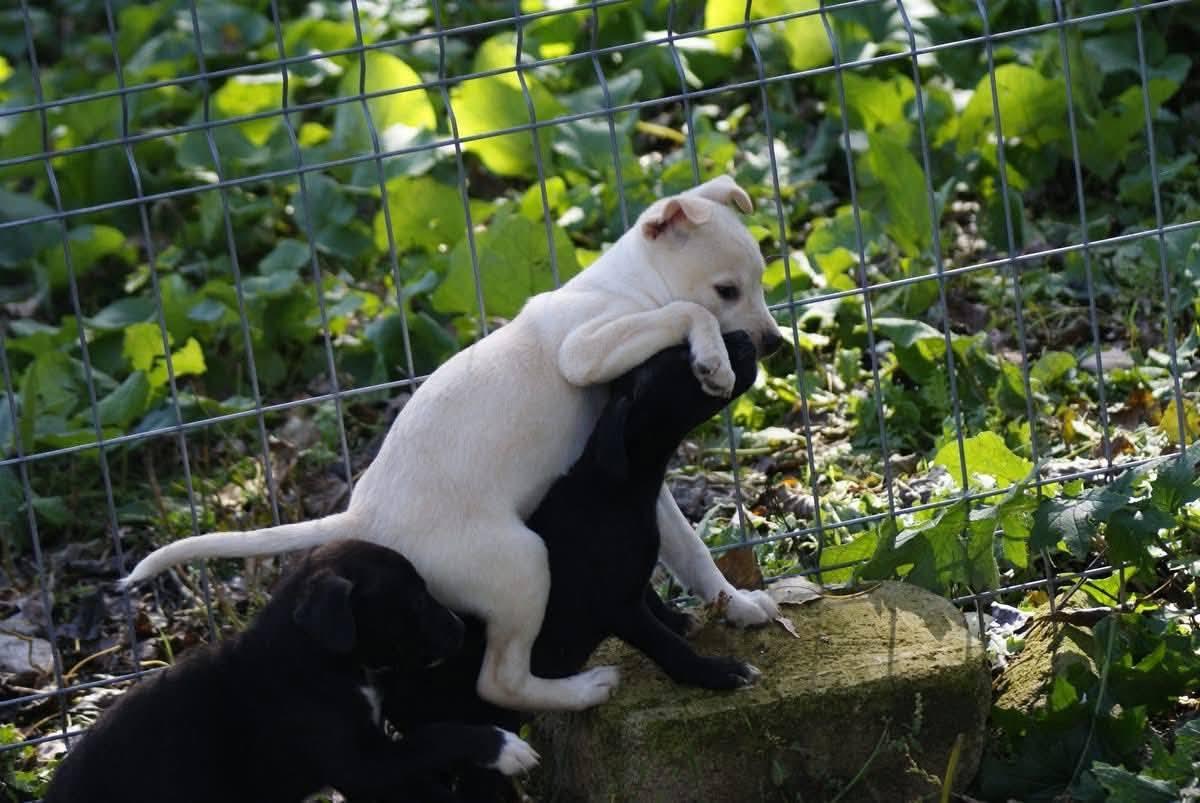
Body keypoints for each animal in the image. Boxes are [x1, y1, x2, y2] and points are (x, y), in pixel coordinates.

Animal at [46, 541, 538, 803]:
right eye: (416, 599)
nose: (460, 627)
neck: (314, 658)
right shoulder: (361, 763)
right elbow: (434, 736)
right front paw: (500, 746)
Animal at [122, 175, 783, 713]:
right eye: (727, 290)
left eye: (759, 280)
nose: (775, 344)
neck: (629, 286)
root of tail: (363, 516)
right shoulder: (585, 349)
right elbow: (682, 314)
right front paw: (712, 357)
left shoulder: (646, 487)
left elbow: (690, 551)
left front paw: (737, 605)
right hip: (523, 565)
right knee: (498, 682)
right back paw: (580, 690)